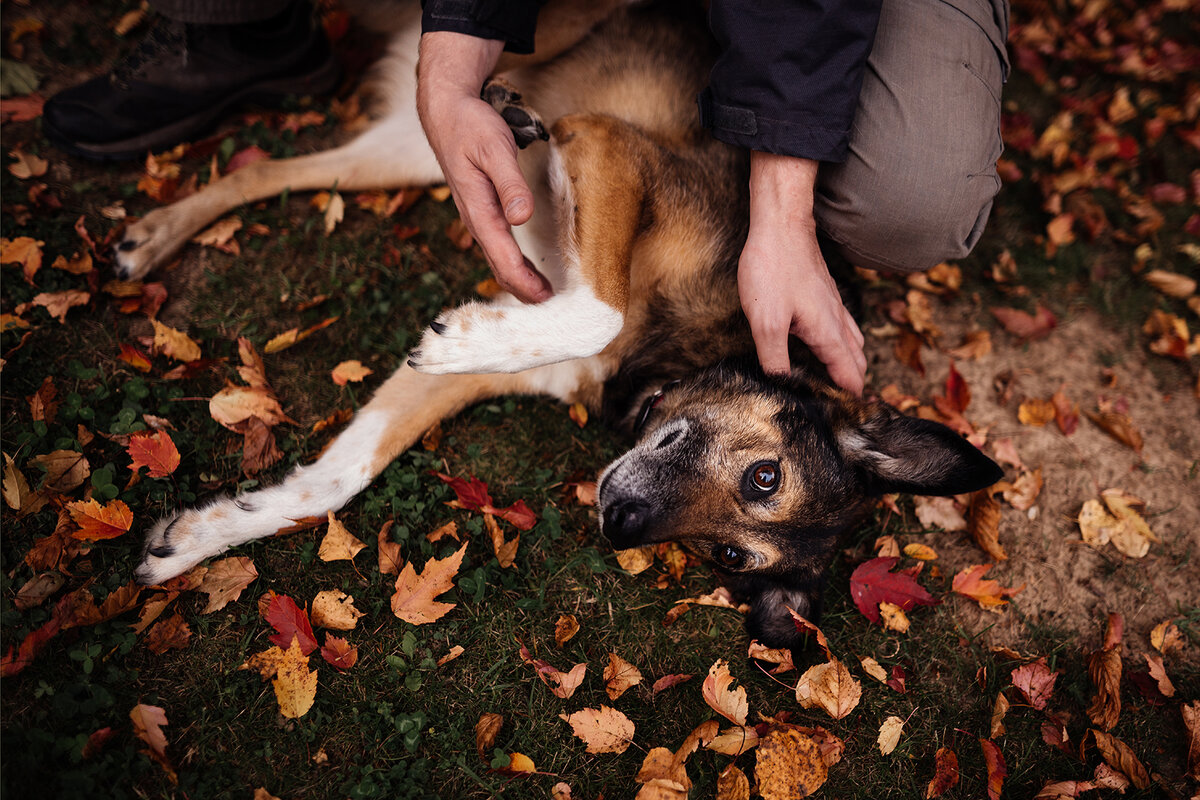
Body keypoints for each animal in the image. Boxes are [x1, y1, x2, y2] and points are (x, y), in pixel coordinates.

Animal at [121, 0, 1003, 652]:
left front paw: (198, 539)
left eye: (728, 554)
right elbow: (598, 304)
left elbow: (335, 479)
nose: (619, 523)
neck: (672, 357)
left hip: (422, 145)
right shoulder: (610, 146)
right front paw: (468, 330)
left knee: (271, 171)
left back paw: (151, 236)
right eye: (765, 479)